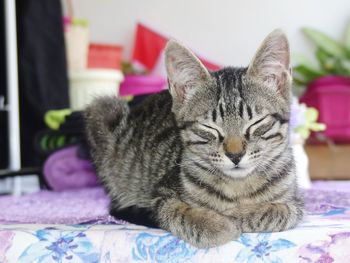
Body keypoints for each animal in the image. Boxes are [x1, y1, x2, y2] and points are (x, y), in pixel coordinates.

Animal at [84, 29, 304, 249]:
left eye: (256, 123)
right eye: (209, 127)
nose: (235, 155)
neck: (237, 187)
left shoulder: (296, 203)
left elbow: (282, 211)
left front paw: (238, 215)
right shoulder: (161, 194)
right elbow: (177, 211)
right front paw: (216, 224)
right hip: (102, 110)